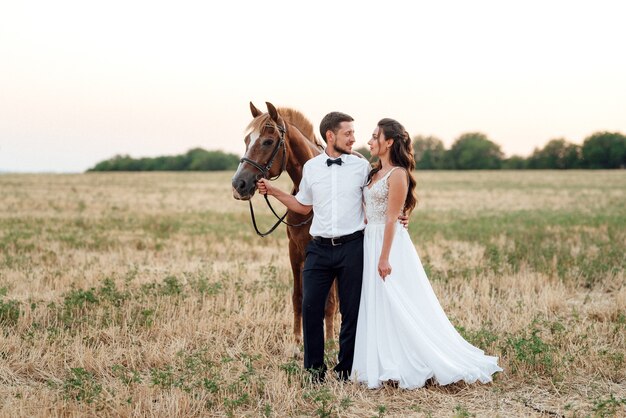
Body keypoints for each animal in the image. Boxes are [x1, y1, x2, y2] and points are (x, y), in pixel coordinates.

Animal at [230, 102, 336, 346]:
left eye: (268, 141)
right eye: (247, 140)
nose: (239, 184)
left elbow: (329, 302)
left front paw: (330, 342)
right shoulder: (295, 250)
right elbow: (298, 296)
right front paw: (297, 341)